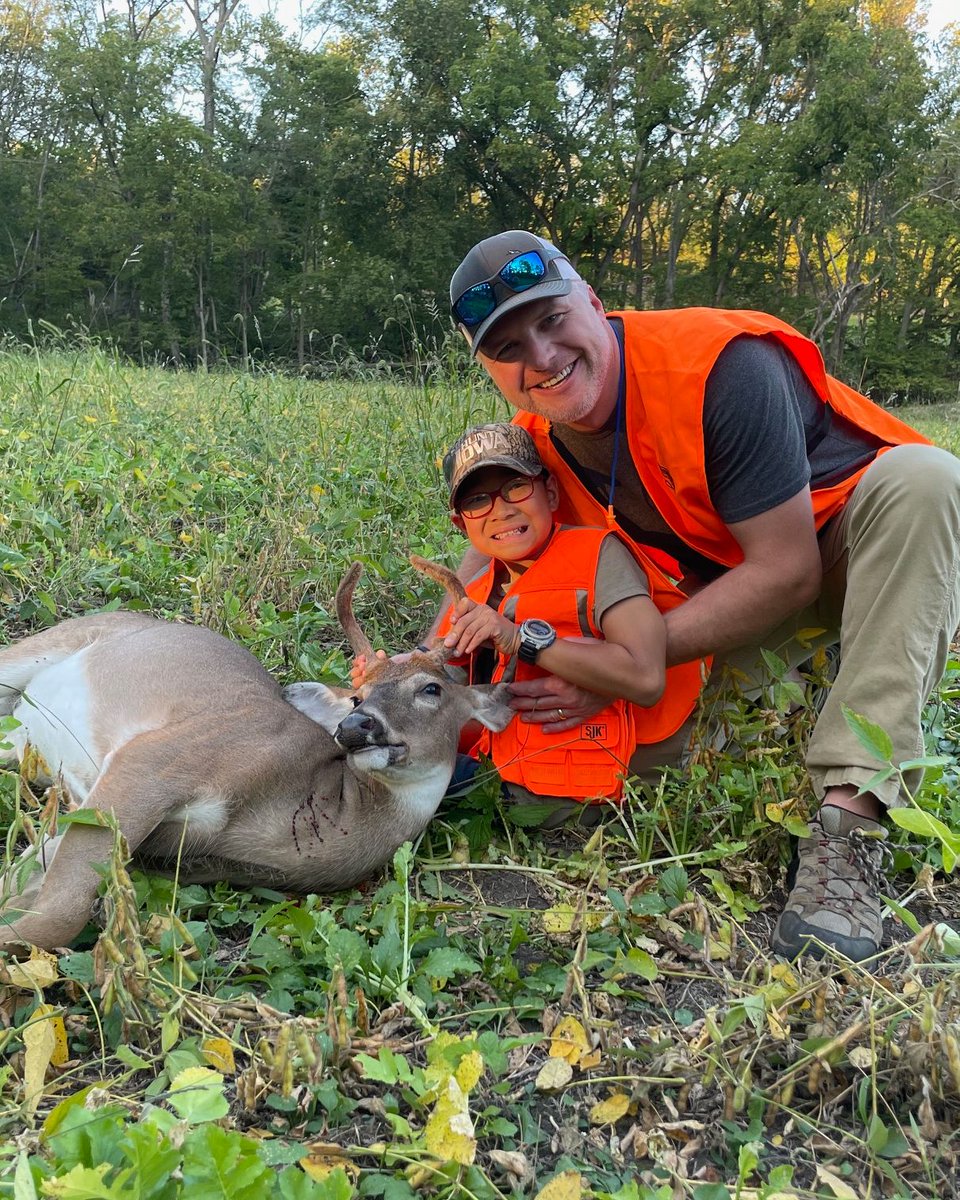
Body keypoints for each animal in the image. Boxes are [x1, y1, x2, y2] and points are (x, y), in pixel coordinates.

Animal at [0, 558, 513, 952]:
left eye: (430, 689)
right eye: (357, 697)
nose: (354, 727)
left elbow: (33, 876)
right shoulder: (158, 758)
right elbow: (59, 914)